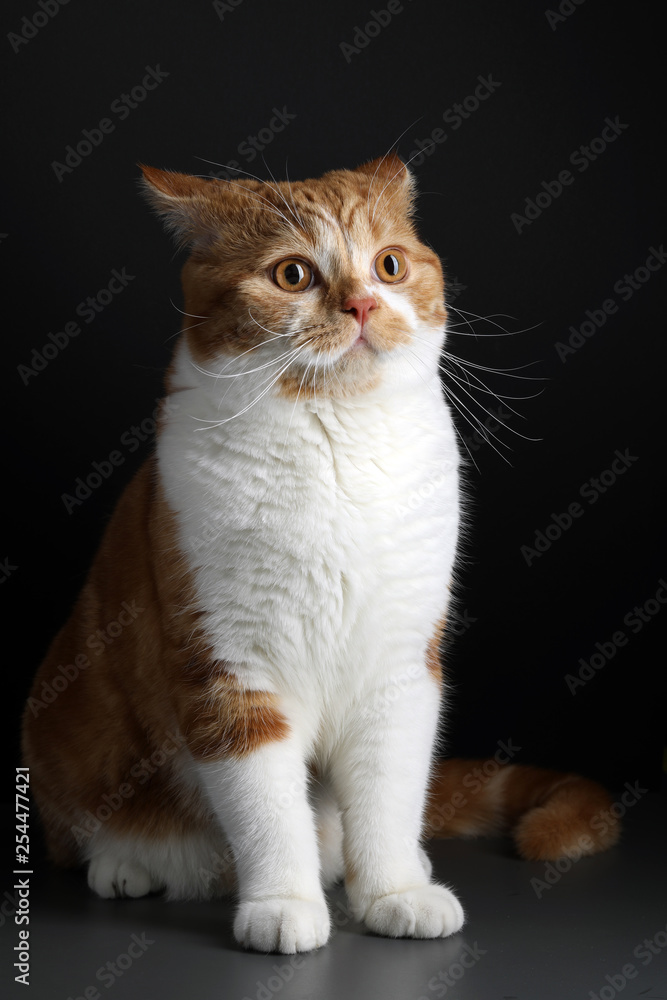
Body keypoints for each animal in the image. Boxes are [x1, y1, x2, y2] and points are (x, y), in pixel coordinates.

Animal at [23, 154, 624, 952]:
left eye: (389, 265)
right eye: (293, 275)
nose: (363, 304)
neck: (336, 445)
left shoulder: (399, 667)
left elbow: (389, 796)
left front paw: (394, 891)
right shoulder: (232, 671)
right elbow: (269, 810)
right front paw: (283, 904)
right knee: (83, 835)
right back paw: (127, 865)